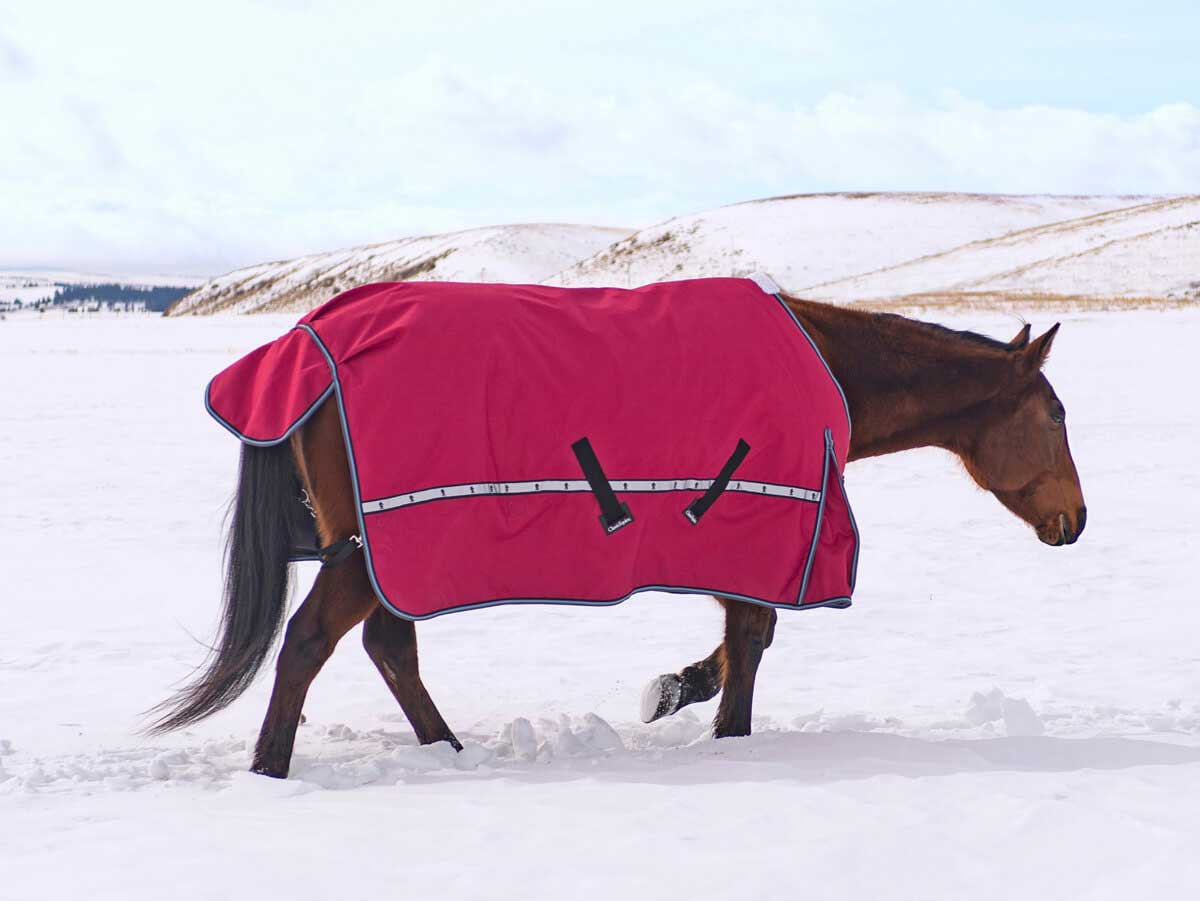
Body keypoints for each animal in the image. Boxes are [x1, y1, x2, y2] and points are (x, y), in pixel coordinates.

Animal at [150, 294, 1086, 779]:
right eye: (1054, 415)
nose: (1075, 520)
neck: (826, 367)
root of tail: (301, 348)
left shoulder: (739, 543)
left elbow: (743, 640)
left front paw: (675, 689)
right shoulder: (760, 533)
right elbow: (752, 640)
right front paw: (717, 727)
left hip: (385, 553)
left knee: (388, 648)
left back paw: (446, 750)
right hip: (367, 551)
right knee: (312, 641)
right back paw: (272, 769)